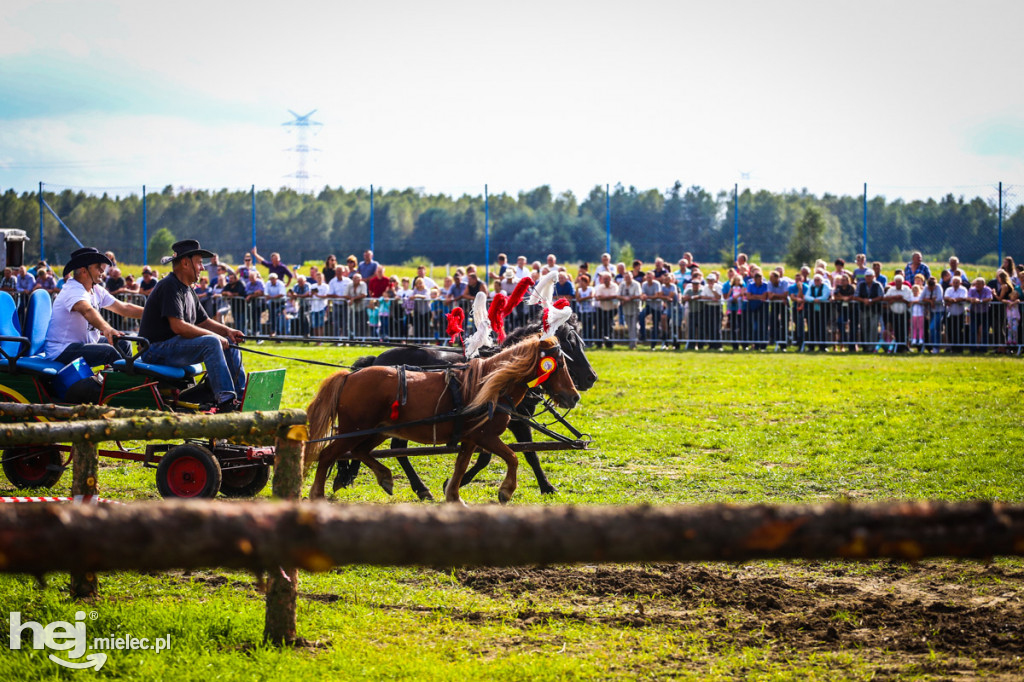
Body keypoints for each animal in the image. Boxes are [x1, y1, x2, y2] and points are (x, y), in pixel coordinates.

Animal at [331, 315, 598, 499]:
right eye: (569, 345)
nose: (591, 378)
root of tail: (376, 359)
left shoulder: (513, 422)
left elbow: (523, 454)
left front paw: (545, 486)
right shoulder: (504, 424)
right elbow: (505, 455)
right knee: (391, 448)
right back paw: (418, 487)